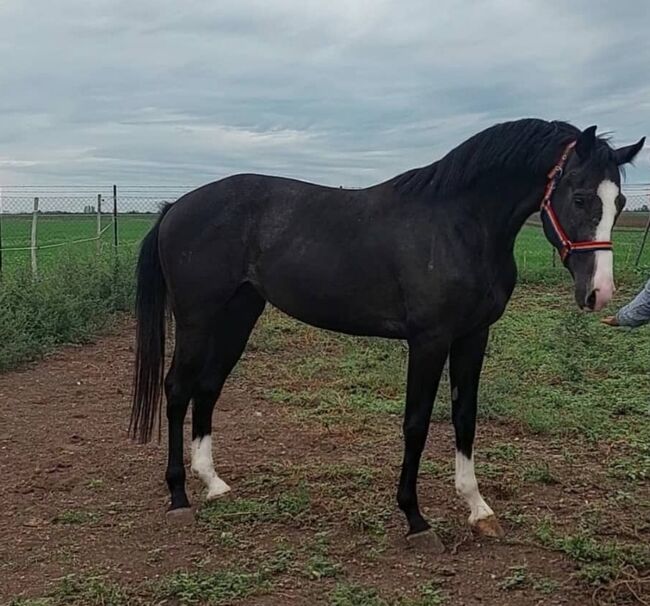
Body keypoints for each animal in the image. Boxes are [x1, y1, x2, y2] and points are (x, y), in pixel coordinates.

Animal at [129, 120, 640, 552]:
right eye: (580, 197)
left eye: (619, 203)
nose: (599, 293)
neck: (459, 224)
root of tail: (176, 208)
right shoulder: (429, 340)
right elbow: (416, 424)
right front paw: (415, 519)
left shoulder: (474, 337)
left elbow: (465, 418)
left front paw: (478, 510)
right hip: (197, 320)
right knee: (177, 389)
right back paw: (179, 497)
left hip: (238, 315)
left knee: (208, 387)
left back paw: (212, 483)